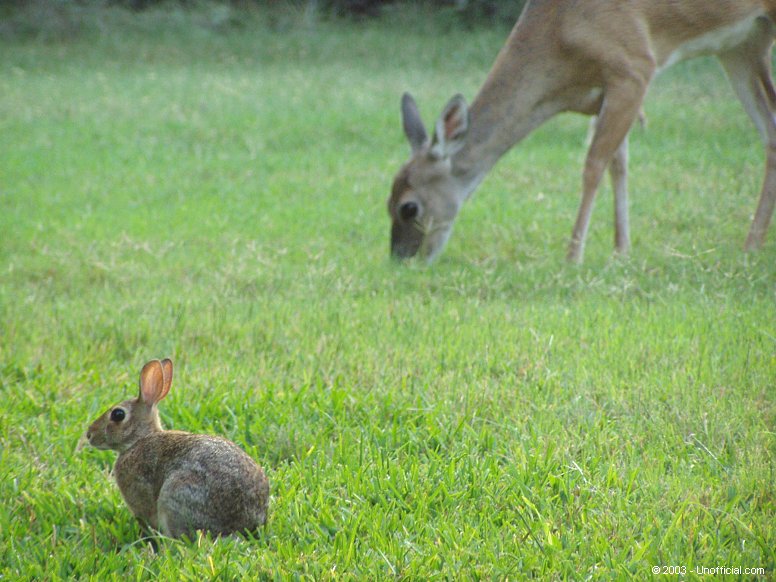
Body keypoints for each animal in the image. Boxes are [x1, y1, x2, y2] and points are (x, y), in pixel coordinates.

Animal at [388, 0, 776, 264]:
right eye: (387, 201)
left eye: (409, 207)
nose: (401, 260)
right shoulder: (603, 94)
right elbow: (619, 164)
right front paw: (622, 251)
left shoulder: (634, 66)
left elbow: (593, 165)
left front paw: (573, 255)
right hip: (742, 45)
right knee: (770, 129)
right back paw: (752, 246)